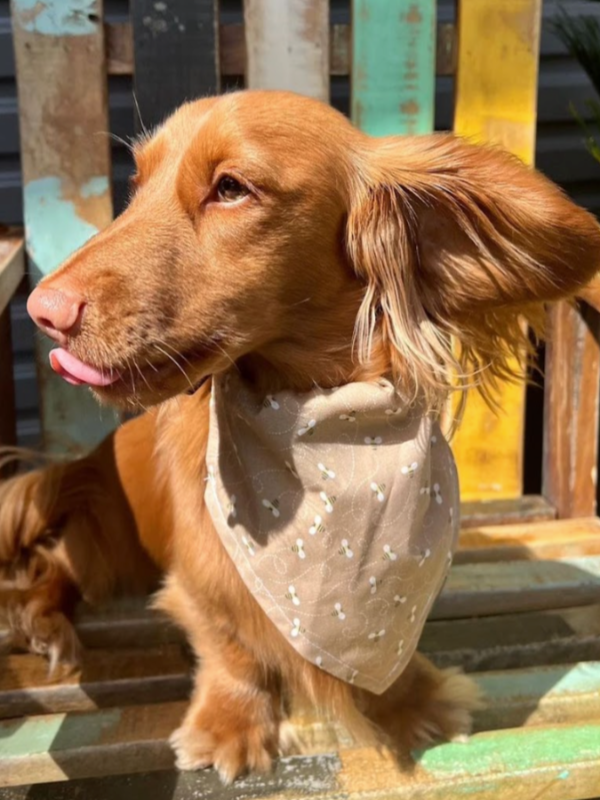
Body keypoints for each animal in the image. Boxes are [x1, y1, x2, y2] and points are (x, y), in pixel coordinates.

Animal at [3, 89, 600, 780]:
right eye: (136, 184)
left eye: (231, 188)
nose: (44, 313)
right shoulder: (200, 581)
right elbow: (230, 646)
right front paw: (231, 724)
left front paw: (409, 700)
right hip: (103, 536)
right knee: (53, 566)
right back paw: (45, 623)